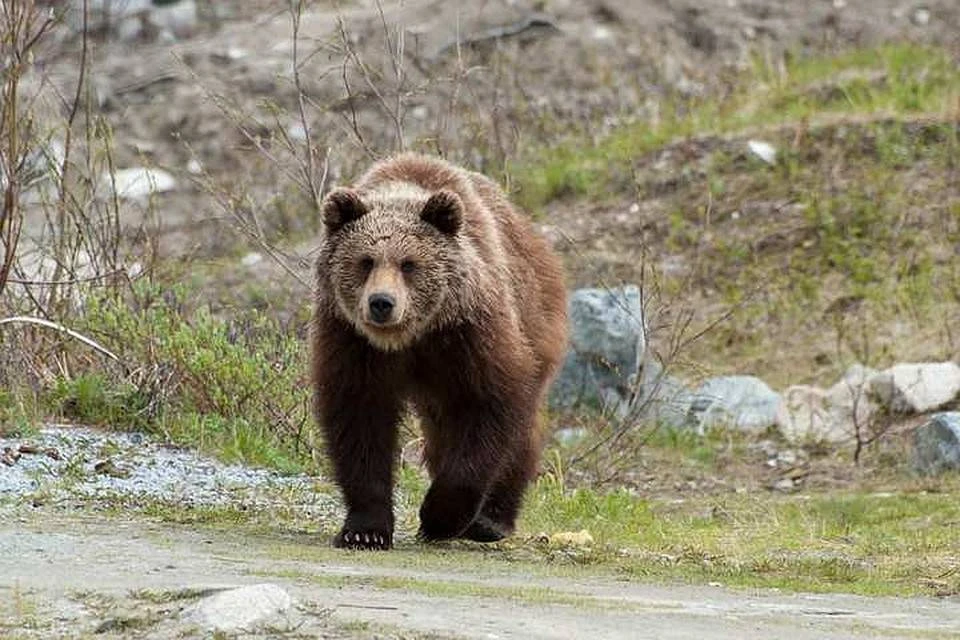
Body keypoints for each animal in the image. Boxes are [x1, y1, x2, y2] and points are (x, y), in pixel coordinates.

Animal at [310, 151, 568, 552]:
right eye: (366, 261)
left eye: (408, 264)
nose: (381, 303)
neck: (411, 338)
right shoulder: (351, 341)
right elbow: (359, 419)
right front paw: (365, 530)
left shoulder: (469, 334)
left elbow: (489, 405)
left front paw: (439, 517)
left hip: (536, 321)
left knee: (518, 434)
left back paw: (491, 521)